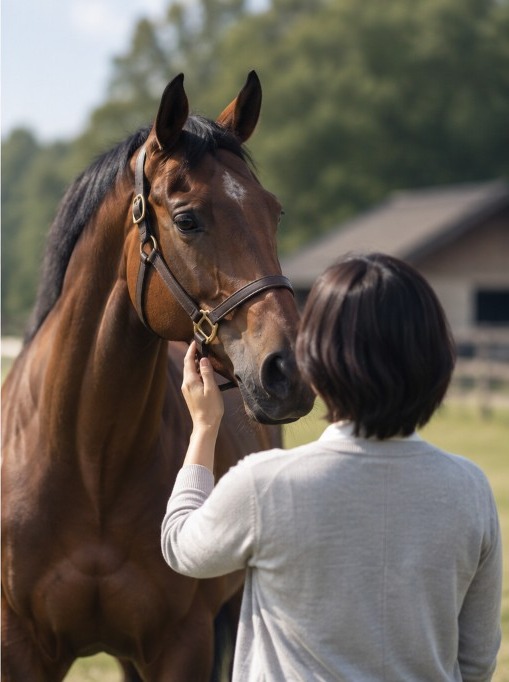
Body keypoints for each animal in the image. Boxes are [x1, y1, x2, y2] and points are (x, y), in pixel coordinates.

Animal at [1, 72, 314, 681]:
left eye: (274, 212)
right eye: (187, 219)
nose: (287, 369)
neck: (89, 461)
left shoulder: (182, 645)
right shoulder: (20, 648)